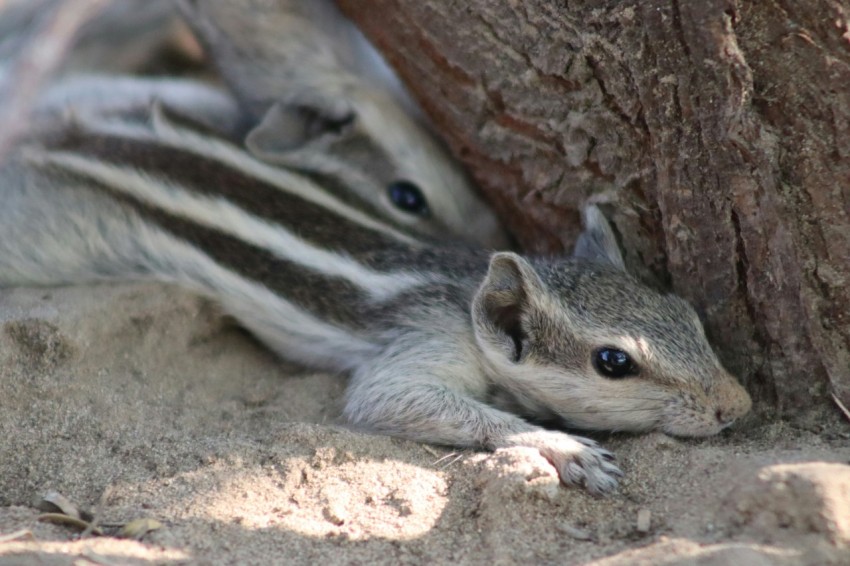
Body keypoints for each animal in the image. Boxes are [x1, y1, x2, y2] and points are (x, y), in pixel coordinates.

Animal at [0, 100, 748, 494]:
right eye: (613, 363)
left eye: (687, 314)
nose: (736, 406)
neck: (464, 292)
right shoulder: (423, 345)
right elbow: (390, 399)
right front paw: (563, 447)